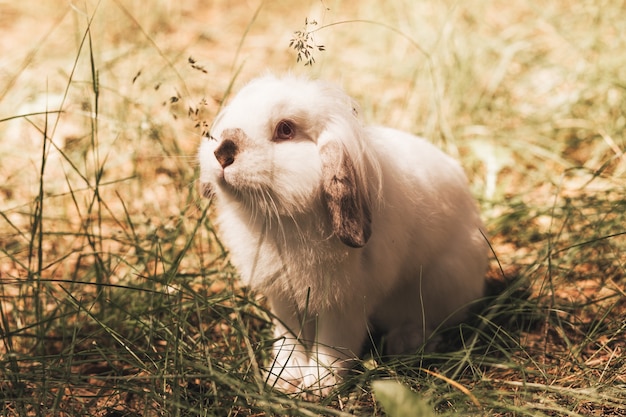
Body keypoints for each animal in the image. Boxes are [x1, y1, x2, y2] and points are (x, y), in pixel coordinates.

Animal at [197, 74, 486, 396]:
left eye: (286, 129)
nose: (223, 152)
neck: (282, 221)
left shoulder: (344, 304)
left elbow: (332, 346)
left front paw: (318, 385)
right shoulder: (284, 297)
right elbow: (289, 339)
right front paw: (283, 379)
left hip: (439, 285)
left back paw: (407, 342)